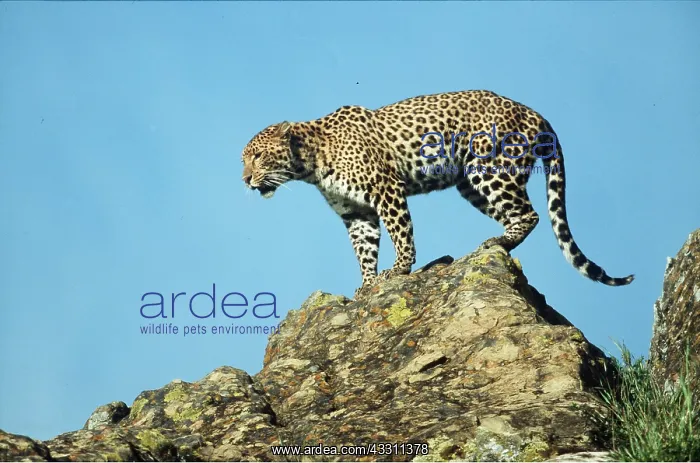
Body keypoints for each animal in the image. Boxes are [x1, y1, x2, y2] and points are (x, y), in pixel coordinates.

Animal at [240, 90, 634, 298]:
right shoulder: (356, 213)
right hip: (471, 184)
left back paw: (497, 244)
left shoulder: (386, 189)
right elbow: (364, 250)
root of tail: (534, 112)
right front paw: (366, 285)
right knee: (517, 213)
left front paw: (399, 269)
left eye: (257, 156)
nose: (244, 179)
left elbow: (401, 233)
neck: (310, 164)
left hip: (490, 169)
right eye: (244, 160)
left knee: (530, 213)